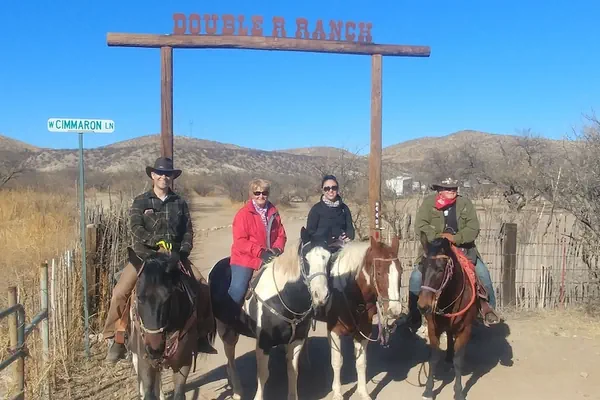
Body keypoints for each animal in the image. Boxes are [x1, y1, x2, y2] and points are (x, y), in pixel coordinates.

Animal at [124, 247, 214, 400]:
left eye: (168, 296)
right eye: (139, 297)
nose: (154, 349)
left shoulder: (184, 363)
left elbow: (178, 393)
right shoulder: (145, 363)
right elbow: (148, 392)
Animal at [208, 227, 332, 400]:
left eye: (329, 258)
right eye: (306, 260)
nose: (321, 295)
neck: (282, 296)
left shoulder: (297, 340)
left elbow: (293, 371)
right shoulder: (263, 342)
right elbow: (263, 375)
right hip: (226, 330)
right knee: (230, 357)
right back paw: (237, 391)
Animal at [316, 235, 402, 400]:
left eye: (400, 272)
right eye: (379, 273)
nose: (395, 310)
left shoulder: (363, 330)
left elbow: (361, 363)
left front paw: (363, 392)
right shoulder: (334, 330)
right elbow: (337, 361)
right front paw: (337, 393)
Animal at [417, 232, 479, 400]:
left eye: (440, 269)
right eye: (421, 267)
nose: (423, 306)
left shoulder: (465, 330)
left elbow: (459, 361)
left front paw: (458, 391)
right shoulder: (433, 328)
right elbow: (433, 358)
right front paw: (428, 390)